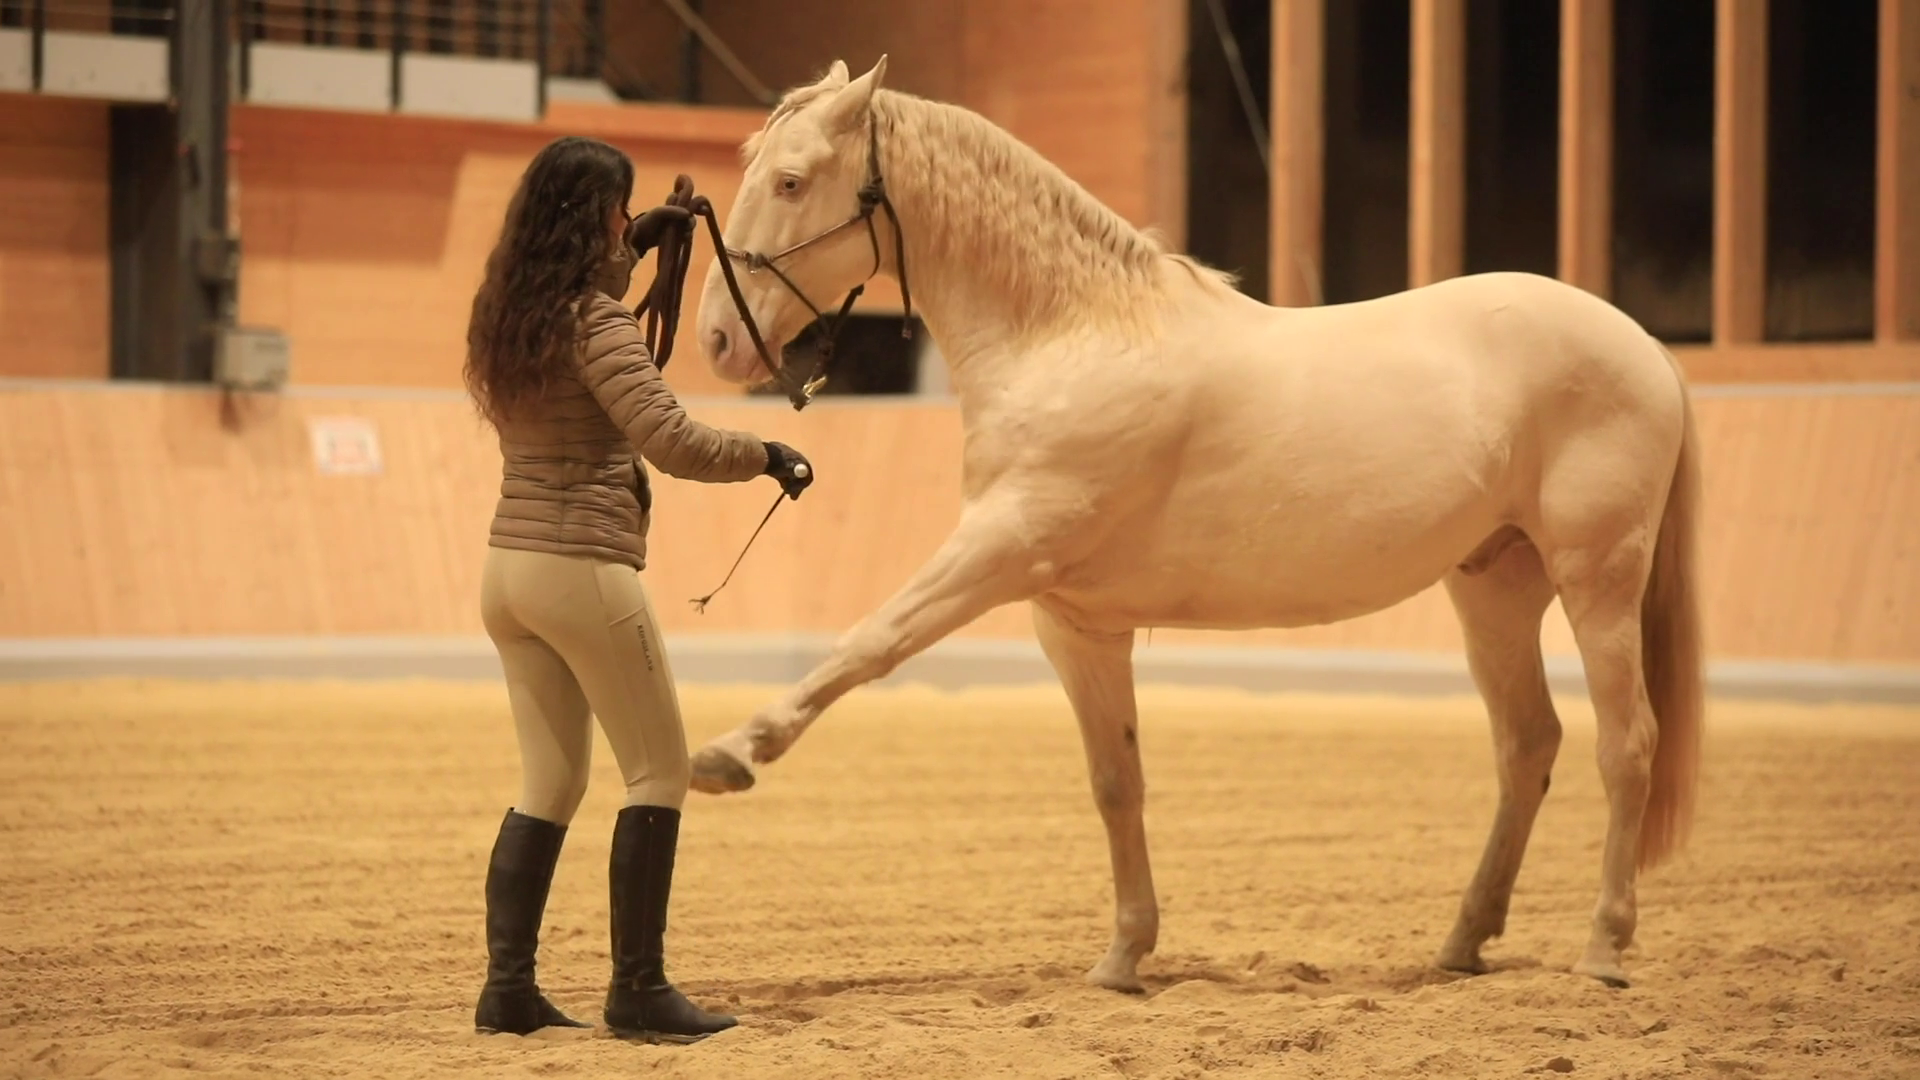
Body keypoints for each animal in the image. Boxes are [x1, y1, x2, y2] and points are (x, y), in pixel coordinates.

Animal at [695, 54, 1712, 991]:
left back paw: (1604, 949)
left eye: (791, 181)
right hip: (1494, 587)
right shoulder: (1074, 624)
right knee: (1528, 745)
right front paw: (1122, 957)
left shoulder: (999, 552)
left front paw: (733, 752)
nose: (716, 340)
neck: (1073, 338)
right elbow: (1117, 783)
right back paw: (1463, 942)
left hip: (1597, 580)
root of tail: (1646, 347)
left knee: (1628, 745)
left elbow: (870, 641)